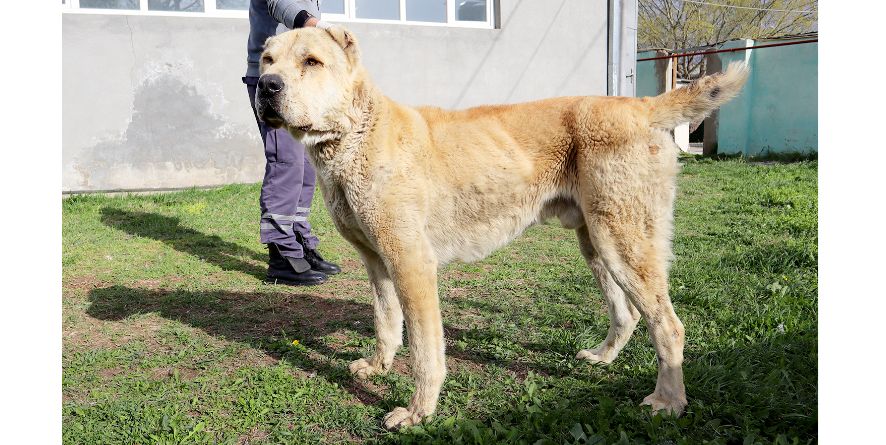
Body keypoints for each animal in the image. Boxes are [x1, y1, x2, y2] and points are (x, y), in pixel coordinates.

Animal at [256, 26, 748, 428]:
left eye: (312, 61)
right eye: (267, 60)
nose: (265, 86)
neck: (357, 133)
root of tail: (642, 106)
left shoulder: (412, 264)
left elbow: (425, 352)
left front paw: (418, 412)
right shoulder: (377, 263)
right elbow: (385, 322)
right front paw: (378, 367)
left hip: (624, 243)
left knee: (668, 325)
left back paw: (669, 401)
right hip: (596, 243)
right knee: (626, 314)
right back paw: (602, 358)